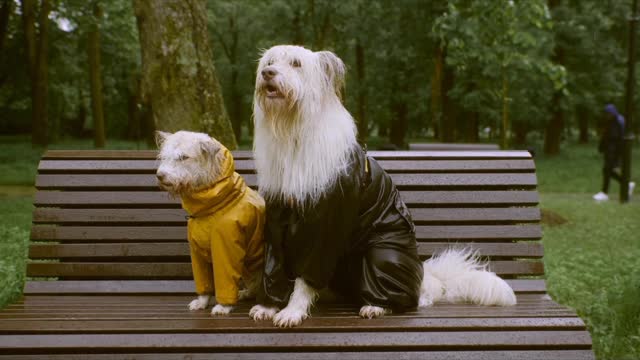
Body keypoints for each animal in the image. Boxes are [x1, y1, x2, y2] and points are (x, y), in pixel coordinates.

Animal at [156, 131, 264, 316]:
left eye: (184, 157)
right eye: (164, 156)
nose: (160, 175)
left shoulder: (225, 250)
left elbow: (224, 279)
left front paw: (223, 306)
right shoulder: (196, 251)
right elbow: (203, 281)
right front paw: (202, 302)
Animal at [248, 44, 516, 326]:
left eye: (296, 64)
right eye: (270, 62)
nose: (268, 73)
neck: (293, 135)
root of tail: (422, 273)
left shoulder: (324, 230)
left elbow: (305, 277)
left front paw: (293, 310)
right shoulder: (276, 221)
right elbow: (274, 270)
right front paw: (268, 306)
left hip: (384, 256)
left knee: (414, 298)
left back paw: (377, 304)